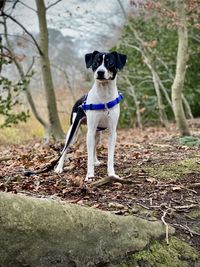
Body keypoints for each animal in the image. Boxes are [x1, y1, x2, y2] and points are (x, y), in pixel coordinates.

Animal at [54, 50, 126, 182]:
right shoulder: (90, 131)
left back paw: (96, 160)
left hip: (97, 134)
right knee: (65, 149)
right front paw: (90, 175)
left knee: (94, 148)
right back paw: (59, 168)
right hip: (73, 132)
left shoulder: (112, 133)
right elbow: (88, 158)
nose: (100, 72)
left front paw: (112, 174)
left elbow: (110, 157)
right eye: (95, 63)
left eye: (110, 63)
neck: (104, 96)